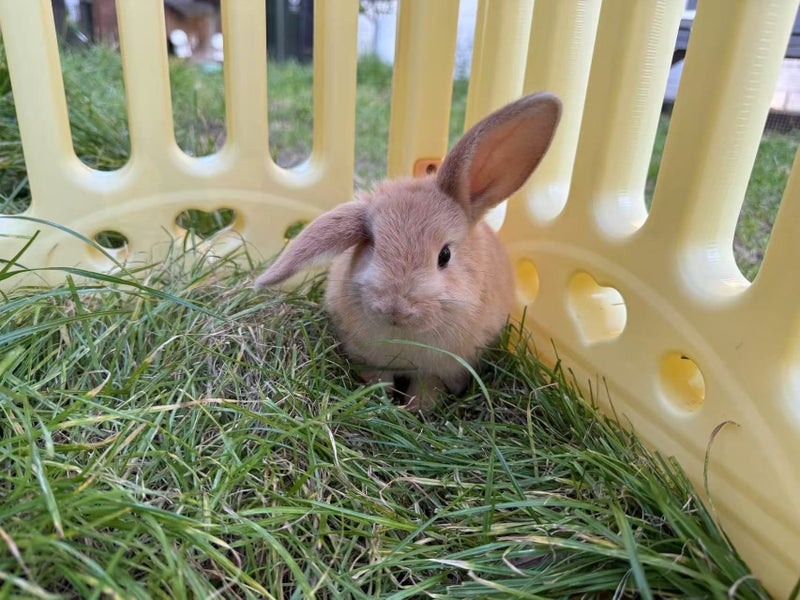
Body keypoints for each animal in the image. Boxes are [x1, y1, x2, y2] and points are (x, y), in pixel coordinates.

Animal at [254, 92, 561, 411]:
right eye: (373, 244)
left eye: (444, 255)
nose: (395, 308)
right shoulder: (371, 362)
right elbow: (380, 381)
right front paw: (385, 403)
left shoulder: (438, 371)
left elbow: (426, 390)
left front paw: (416, 411)